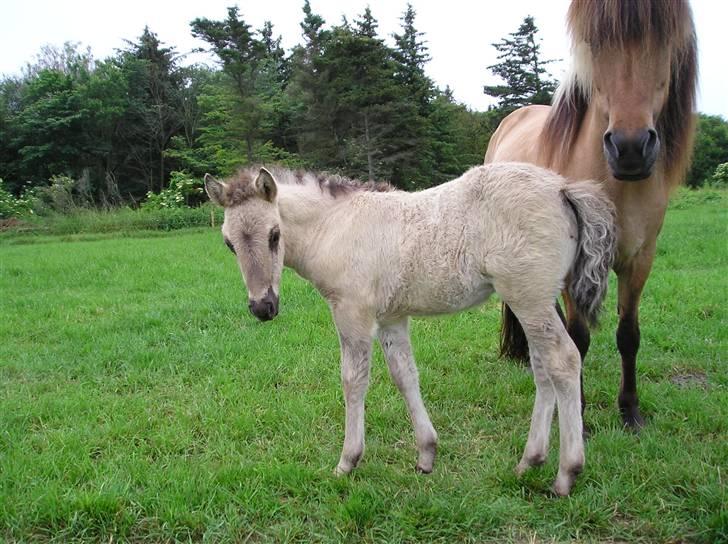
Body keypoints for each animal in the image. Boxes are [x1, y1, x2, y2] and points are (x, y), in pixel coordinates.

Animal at [203, 164, 616, 496]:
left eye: (274, 234)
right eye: (228, 244)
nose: (263, 307)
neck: (335, 227)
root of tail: (562, 187)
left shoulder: (353, 313)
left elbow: (353, 381)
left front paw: (347, 461)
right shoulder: (391, 317)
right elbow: (405, 376)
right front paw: (426, 454)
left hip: (528, 297)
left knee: (562, 360)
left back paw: (566, 474)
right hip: (532, 301)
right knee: (543, 366)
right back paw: (530, 460)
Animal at [486, 0, 696, 430]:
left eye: (664, 41)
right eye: (594, 43)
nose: (630, 148)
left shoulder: (640, 260)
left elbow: (628, 334)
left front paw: (630, 411)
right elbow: (579, 338)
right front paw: (577, 414)